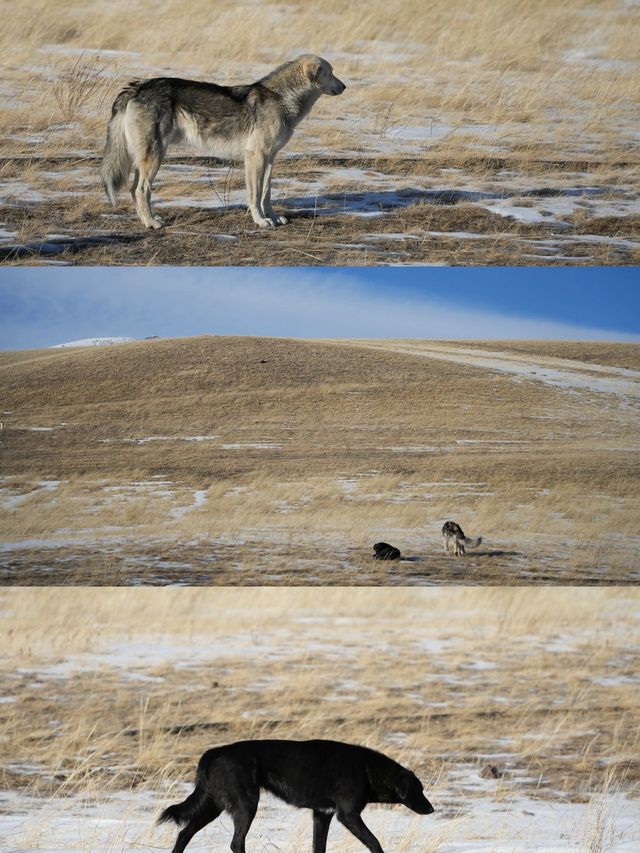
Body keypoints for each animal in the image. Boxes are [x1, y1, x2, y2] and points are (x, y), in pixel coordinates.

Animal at [101, 56, 344, 230]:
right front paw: (261, 221)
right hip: (155, 156)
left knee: (134, 189)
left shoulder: (270, 158)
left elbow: (266, 193)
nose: (345, 87)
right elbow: (255, 195)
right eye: (331, 72)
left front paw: (274, 218)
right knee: (141, 190)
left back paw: (147, 221)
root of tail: (137, 86)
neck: (283, 99)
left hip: (146, 158)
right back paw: (152, 224)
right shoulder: (255, 157)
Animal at [159, 736, 436, 848]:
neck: (366, 769)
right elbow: (374, 842)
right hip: (246, 805)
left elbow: (318, 847)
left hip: (214, 806)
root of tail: (215, 752)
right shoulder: (348, 816)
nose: (432, 809)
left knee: (184, 833)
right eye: (419, 789)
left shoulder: (322, 815)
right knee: (236, 842)